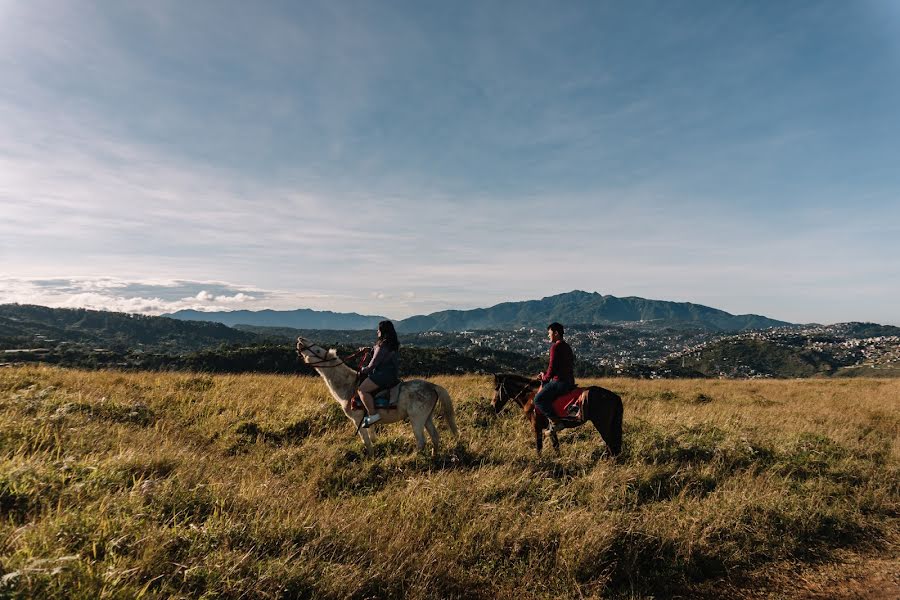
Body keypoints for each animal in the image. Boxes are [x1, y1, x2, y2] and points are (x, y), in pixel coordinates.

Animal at [298, 338, 460, 454]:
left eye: (318, 350)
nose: (300, 340)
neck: (348, 387)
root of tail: (432, 386)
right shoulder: (366, 420)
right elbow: (373, 438)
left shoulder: (357, 420)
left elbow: (367, 442)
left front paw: (371, 457)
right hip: (427, 417)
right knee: (435, 437)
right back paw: (434, 456)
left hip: (417, 419)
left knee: (421, 441)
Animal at [492, 372, 620, 458]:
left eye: (497, 388)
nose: (493, 405)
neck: (530, 397)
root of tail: (614, 396)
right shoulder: (550, 429)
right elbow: (556, 445)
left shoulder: (536, 427)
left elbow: (539, 446)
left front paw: (540, 461)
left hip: (602, 425)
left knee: (610, 445)